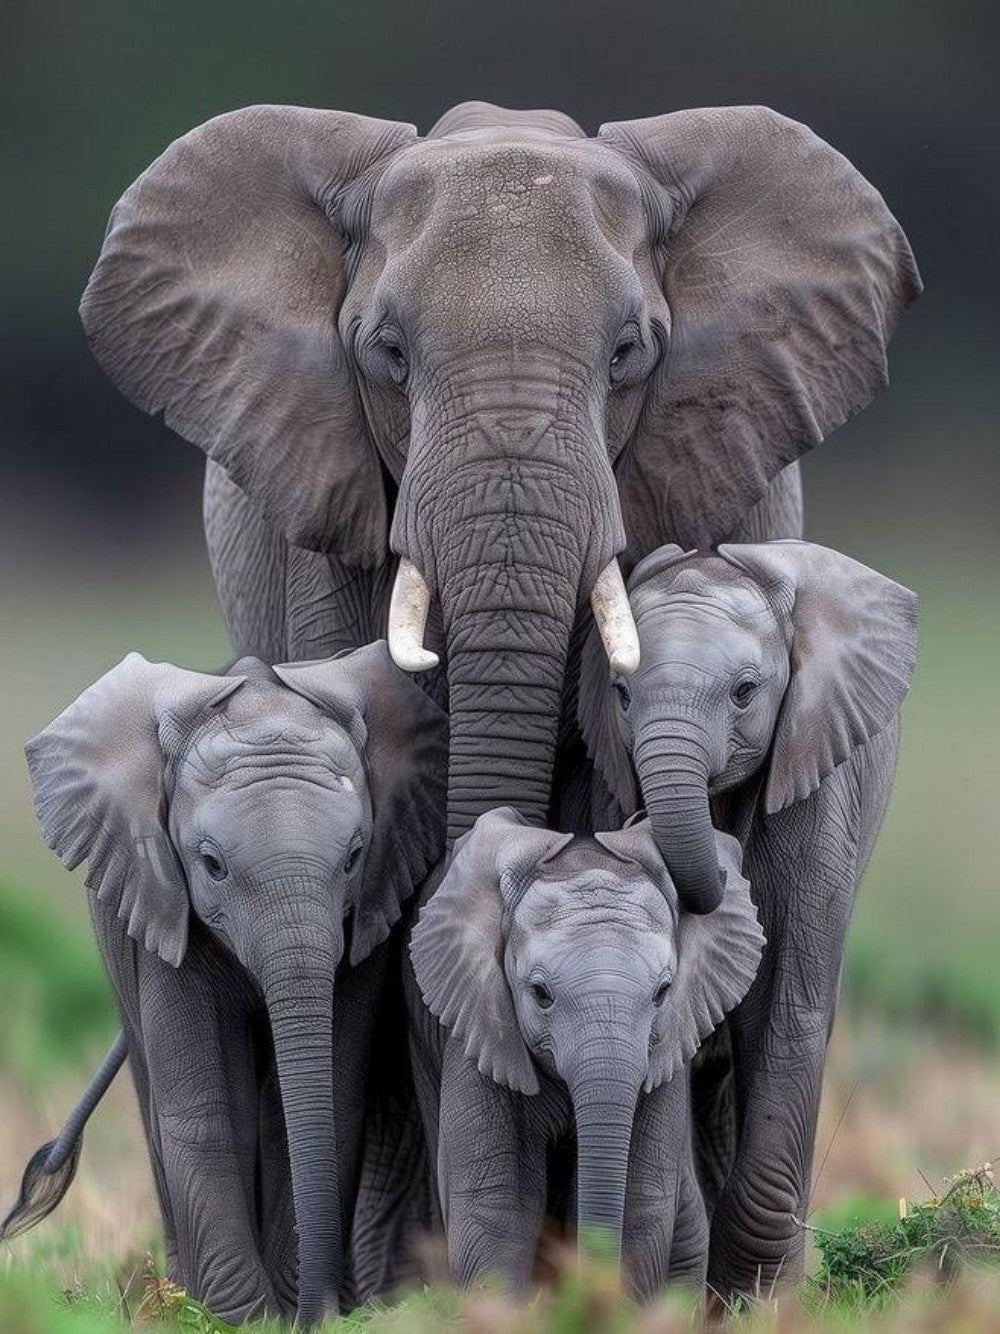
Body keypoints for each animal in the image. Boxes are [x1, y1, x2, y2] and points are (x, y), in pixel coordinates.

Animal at [12, 642, 446, 1326]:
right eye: (211, 865)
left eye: (354, 856)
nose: (319, 1315)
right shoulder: (161, 900)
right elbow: (202, 1113)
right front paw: (237, 1319)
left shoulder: (370, 915)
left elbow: (331, 1099)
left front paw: (281, 1311)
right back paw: (175, 1291)